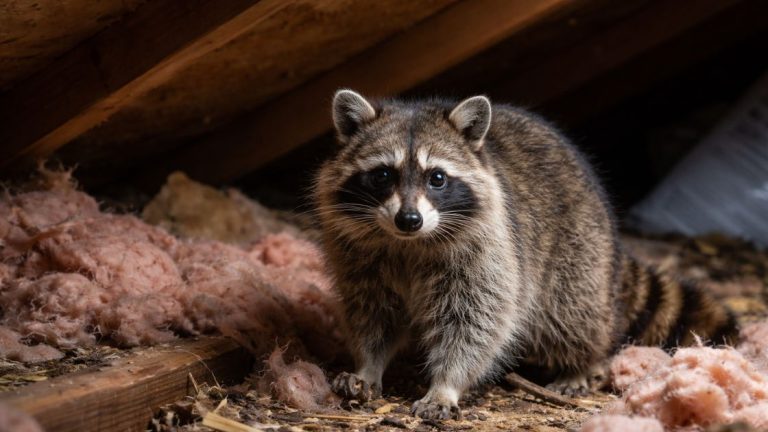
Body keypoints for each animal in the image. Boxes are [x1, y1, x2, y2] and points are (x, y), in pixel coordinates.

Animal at [313, 89, 736, 420]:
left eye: (437, 178)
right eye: (383, 175)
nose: (409, 219)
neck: (408, 244)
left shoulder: (490, 251)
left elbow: (477, 320)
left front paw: (446, 383)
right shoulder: (359, 256)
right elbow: (372, 314)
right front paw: (368, 366)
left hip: (578, 251)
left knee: (574, 312)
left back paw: (583, 360)